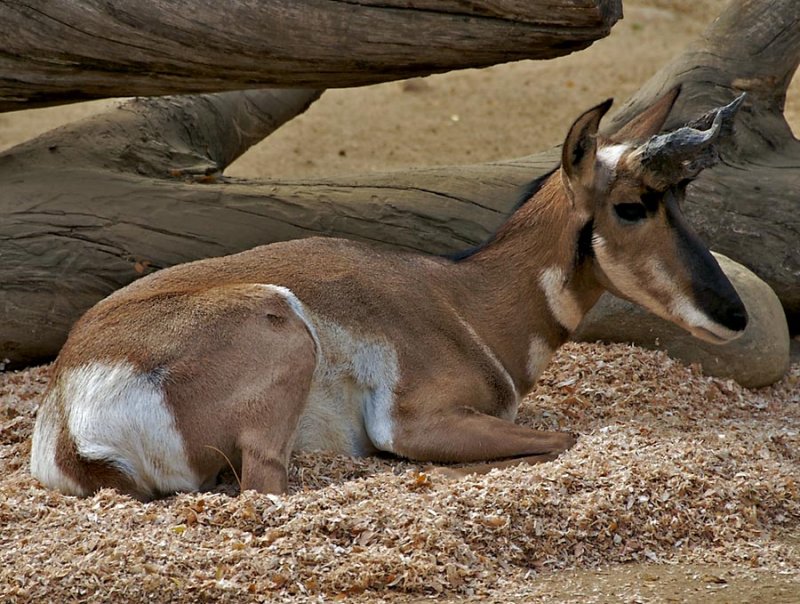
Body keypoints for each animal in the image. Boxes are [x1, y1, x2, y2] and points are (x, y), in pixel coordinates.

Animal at [28, 86, 748, 500]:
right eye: (631, 206)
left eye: (680, 198)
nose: (735, 314)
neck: (464, 296)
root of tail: (68, 415)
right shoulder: (415, 421)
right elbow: (566, 437)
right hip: (280, 330)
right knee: (264, 491)